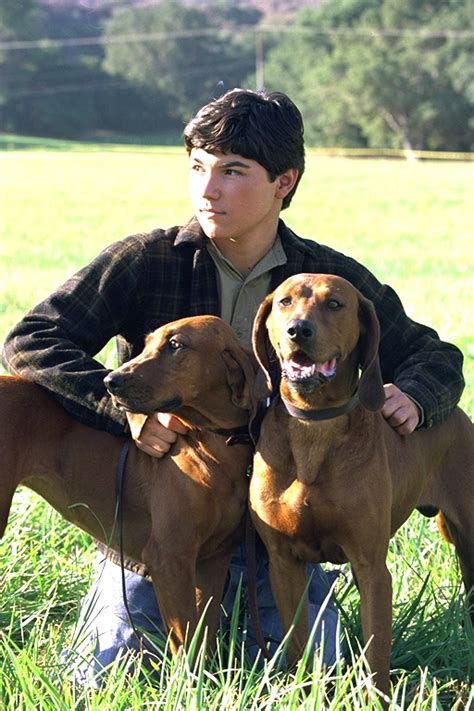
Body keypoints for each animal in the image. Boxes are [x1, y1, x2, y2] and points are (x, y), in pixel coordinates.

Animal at [0, 316, 256, 656]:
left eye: (176, 345)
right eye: (146, 344)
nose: (111, 381)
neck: (215, 443)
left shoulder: (212, 561)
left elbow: (203, 636)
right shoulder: (169, 560)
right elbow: (185, 644)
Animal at [250, 276, 472, 700]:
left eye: (335, 304)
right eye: (284, 302)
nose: (298, 330)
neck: (314, 422)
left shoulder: (371, 567)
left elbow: (375, 655)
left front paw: (375, 700)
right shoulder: (283, 563)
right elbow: (297, 643)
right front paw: (300, 693)